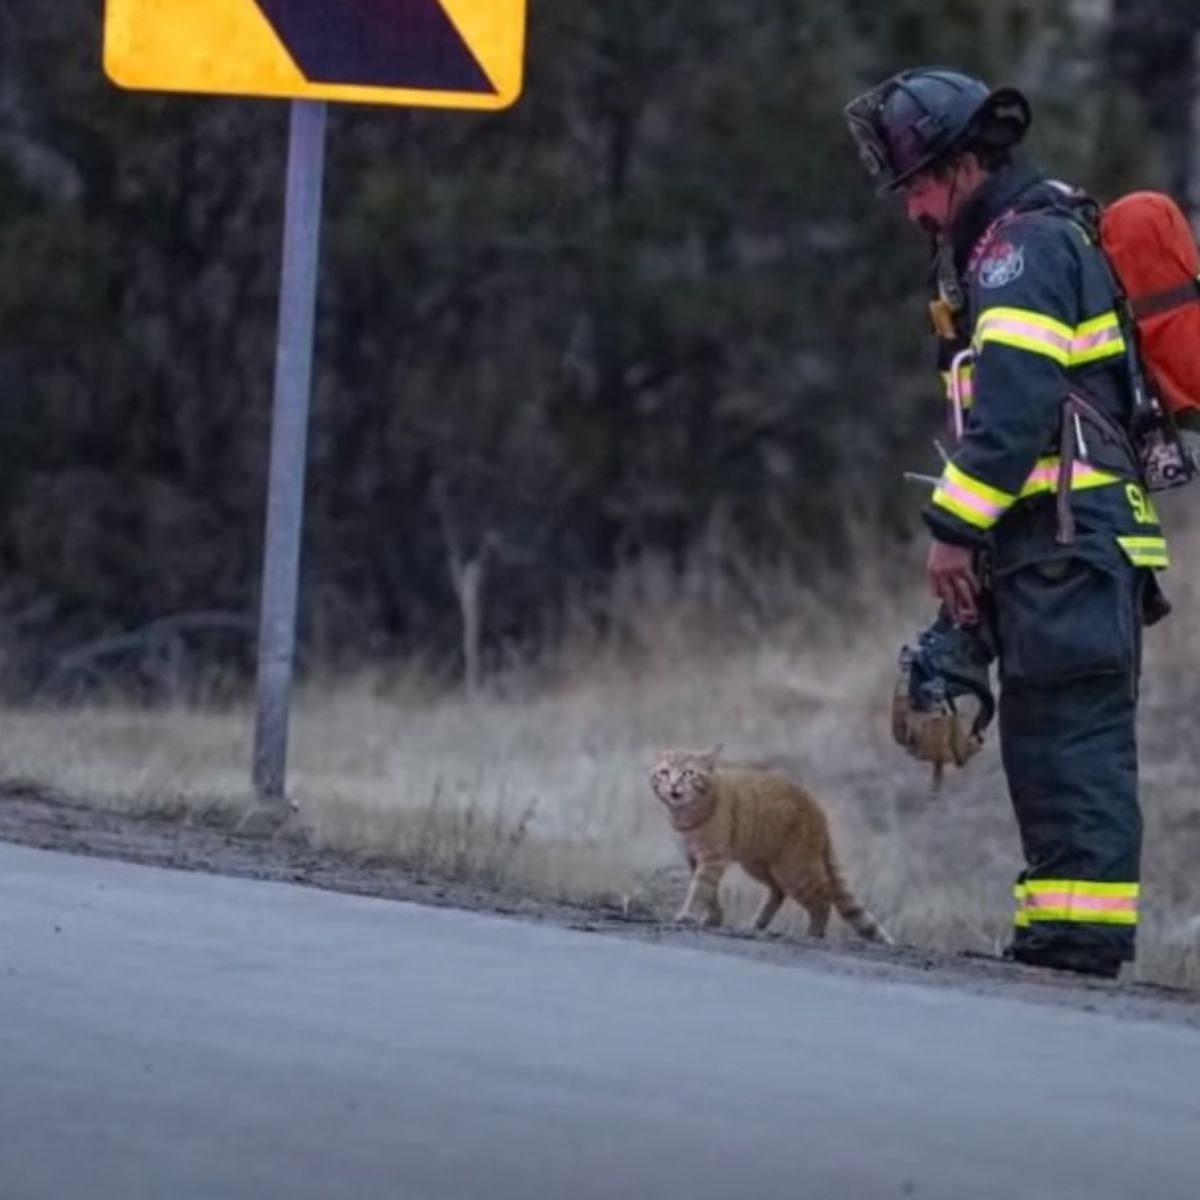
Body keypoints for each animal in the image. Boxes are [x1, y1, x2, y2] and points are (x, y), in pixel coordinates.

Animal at [648, 744, 892, 940]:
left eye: (688, 773)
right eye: (664, 772)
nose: (673, 787)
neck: (686, 815)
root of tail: (819, 811)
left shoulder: (712, 859)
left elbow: (700, 889)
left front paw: (688, 915)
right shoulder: (694, 859)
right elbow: (710, 893)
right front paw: (714, 918)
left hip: (795, 870)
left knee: (824, 897)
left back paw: (814, 933)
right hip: (760, 863)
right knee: (778, 891)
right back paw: (759, 923)